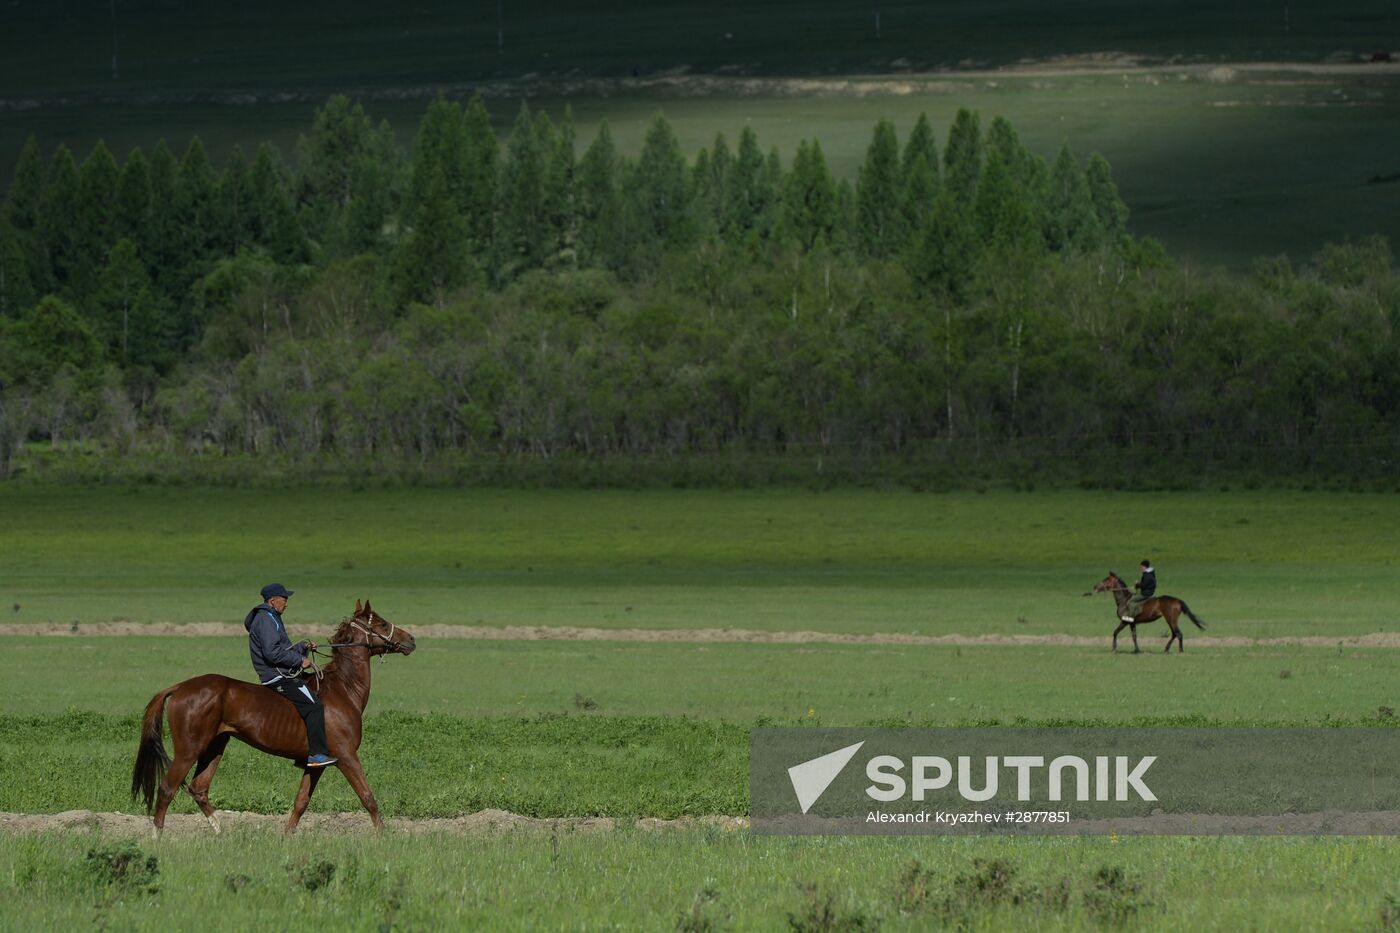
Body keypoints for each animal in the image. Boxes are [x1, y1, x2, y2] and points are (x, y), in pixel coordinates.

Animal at [129, 602, 414, 834]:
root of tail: (180, 687)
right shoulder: (346, 757)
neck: (343, 689)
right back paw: (157, 837)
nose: (411, 639)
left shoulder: (316, 764)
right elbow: (367, 796)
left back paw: (221, 831)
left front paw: (286, 838)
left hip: (215, 746)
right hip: (189, 750)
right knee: (168, 789)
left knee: (199, 788)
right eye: (382, 623)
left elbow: (300, 803)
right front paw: (385, 836)